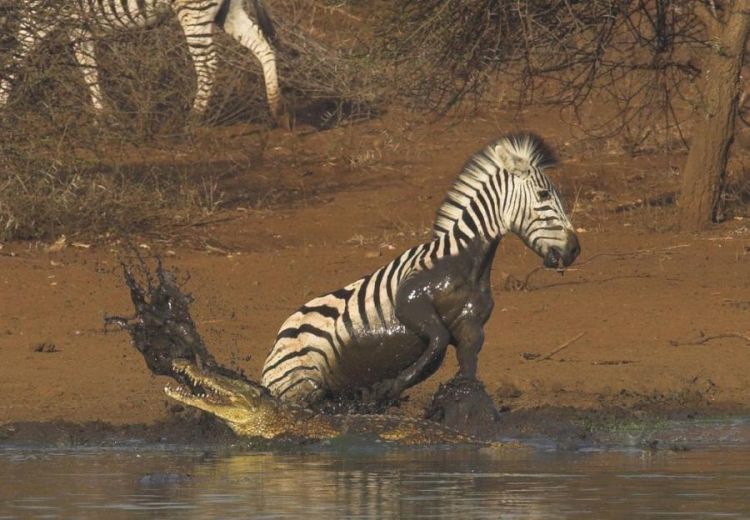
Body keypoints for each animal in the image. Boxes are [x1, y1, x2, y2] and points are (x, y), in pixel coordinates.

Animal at [0, 0, 284, 125]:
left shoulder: (40, 18)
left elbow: (13, 63)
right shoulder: (75, 23)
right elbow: (89, 69)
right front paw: (103, 118)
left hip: (194, 11)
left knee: (207, 64)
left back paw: (192, 121)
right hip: (227, 9)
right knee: (262, 45)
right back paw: (275, 110)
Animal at [262, 133, 584, 406]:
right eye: (543, 195)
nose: (574, 250)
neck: (466, 264)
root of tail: (278, 338)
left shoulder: (471, 330)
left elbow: (464, 371)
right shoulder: (410, 301)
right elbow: (437, 343)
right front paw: (388, 388)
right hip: (300, 383)